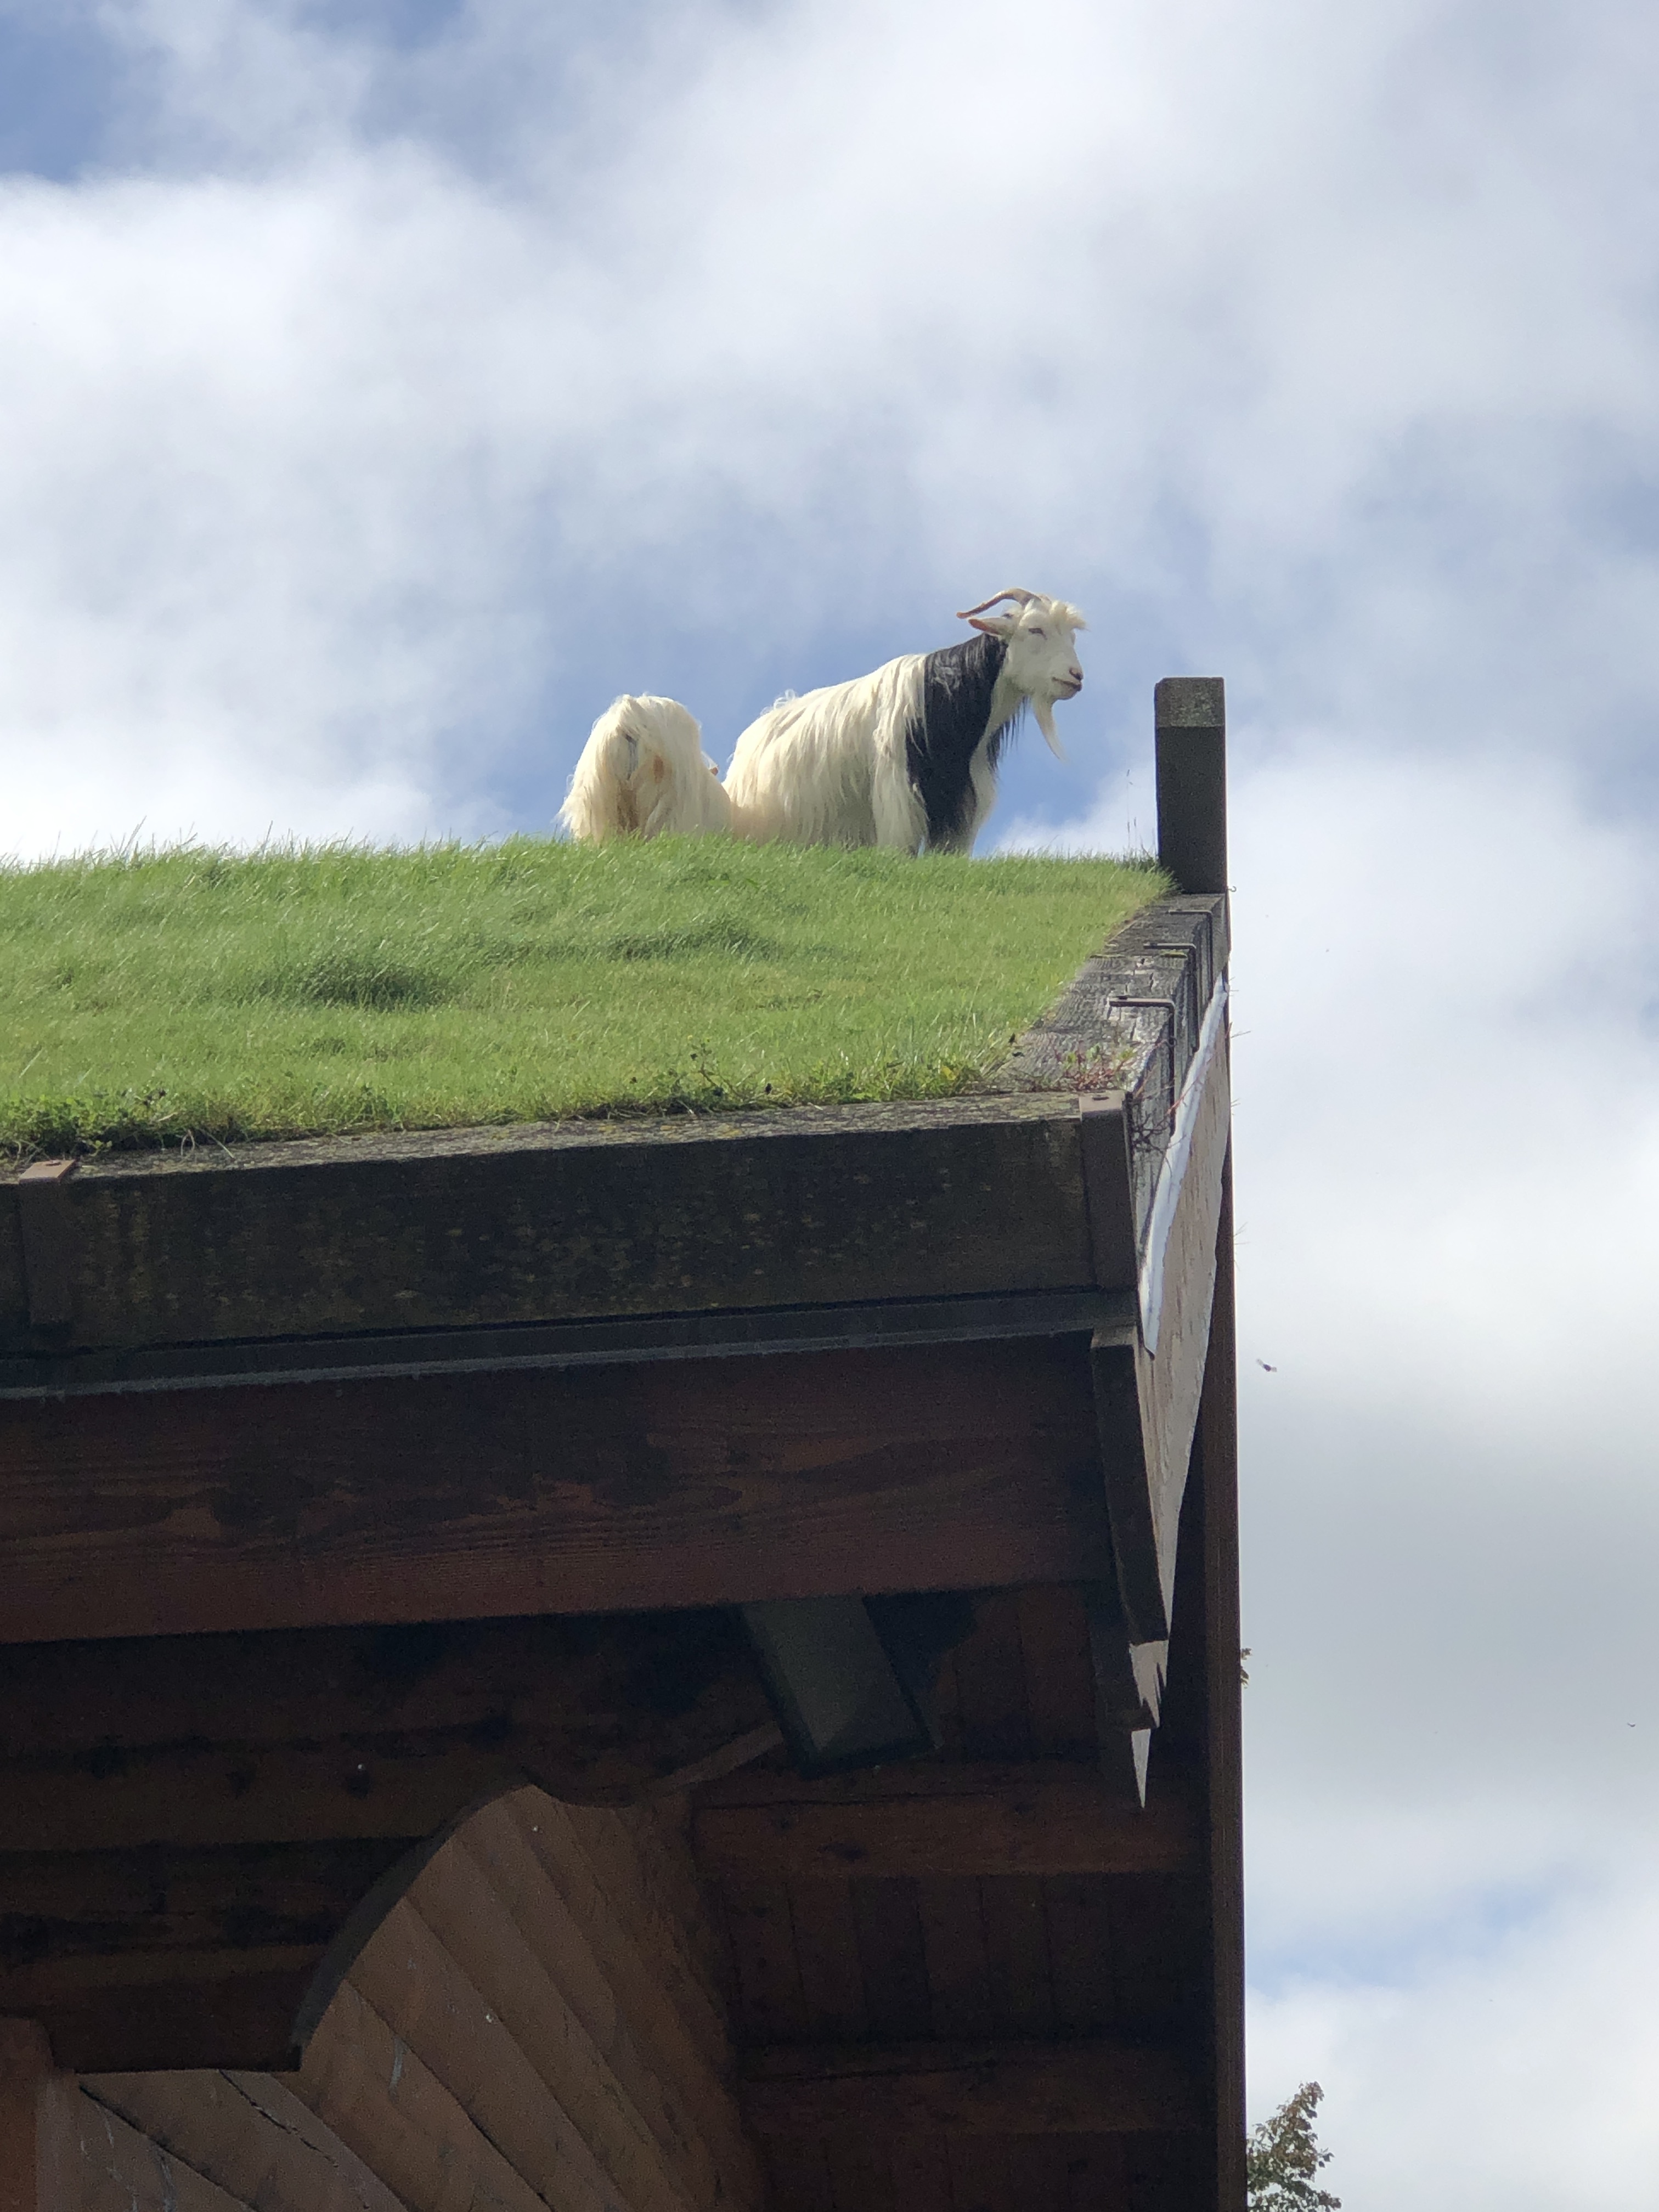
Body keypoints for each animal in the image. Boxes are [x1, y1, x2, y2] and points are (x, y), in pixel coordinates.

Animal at [557, 589, 1085, 854]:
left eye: (1072, 634)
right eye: (1034, 629)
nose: (1075, 677)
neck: (948, 696)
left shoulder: (959, 806)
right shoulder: (899, 793)